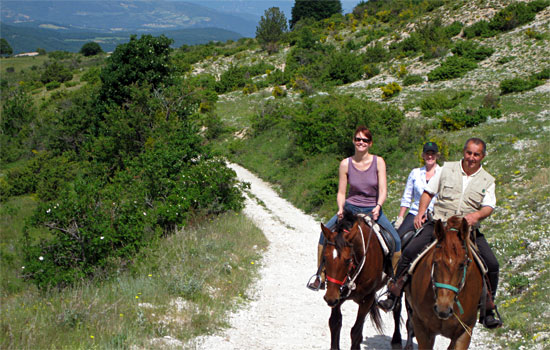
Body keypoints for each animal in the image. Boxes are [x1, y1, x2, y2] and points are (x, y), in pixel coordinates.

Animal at [322, 211, 398, 350]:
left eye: (347, 260)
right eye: (325, 257)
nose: (330, 298)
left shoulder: (367, 299)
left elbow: (356, 331)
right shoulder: (339, 295)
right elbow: (335, 323)